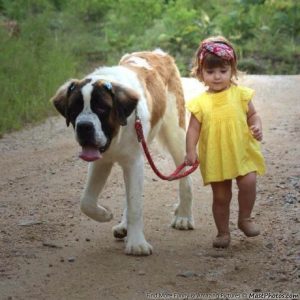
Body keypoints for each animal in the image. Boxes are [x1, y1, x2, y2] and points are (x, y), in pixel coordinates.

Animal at [50, 49, 193, 255]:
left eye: (102, 107)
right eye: (75, 108)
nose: (84, 127)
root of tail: (158, 53)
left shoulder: (134, 162)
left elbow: (135, 205)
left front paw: (137, 244)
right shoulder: (101, 162)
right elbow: (86, 201)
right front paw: (104, 214)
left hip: (177, 135)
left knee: (185, 179)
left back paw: (184, 216)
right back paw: (124, 226)